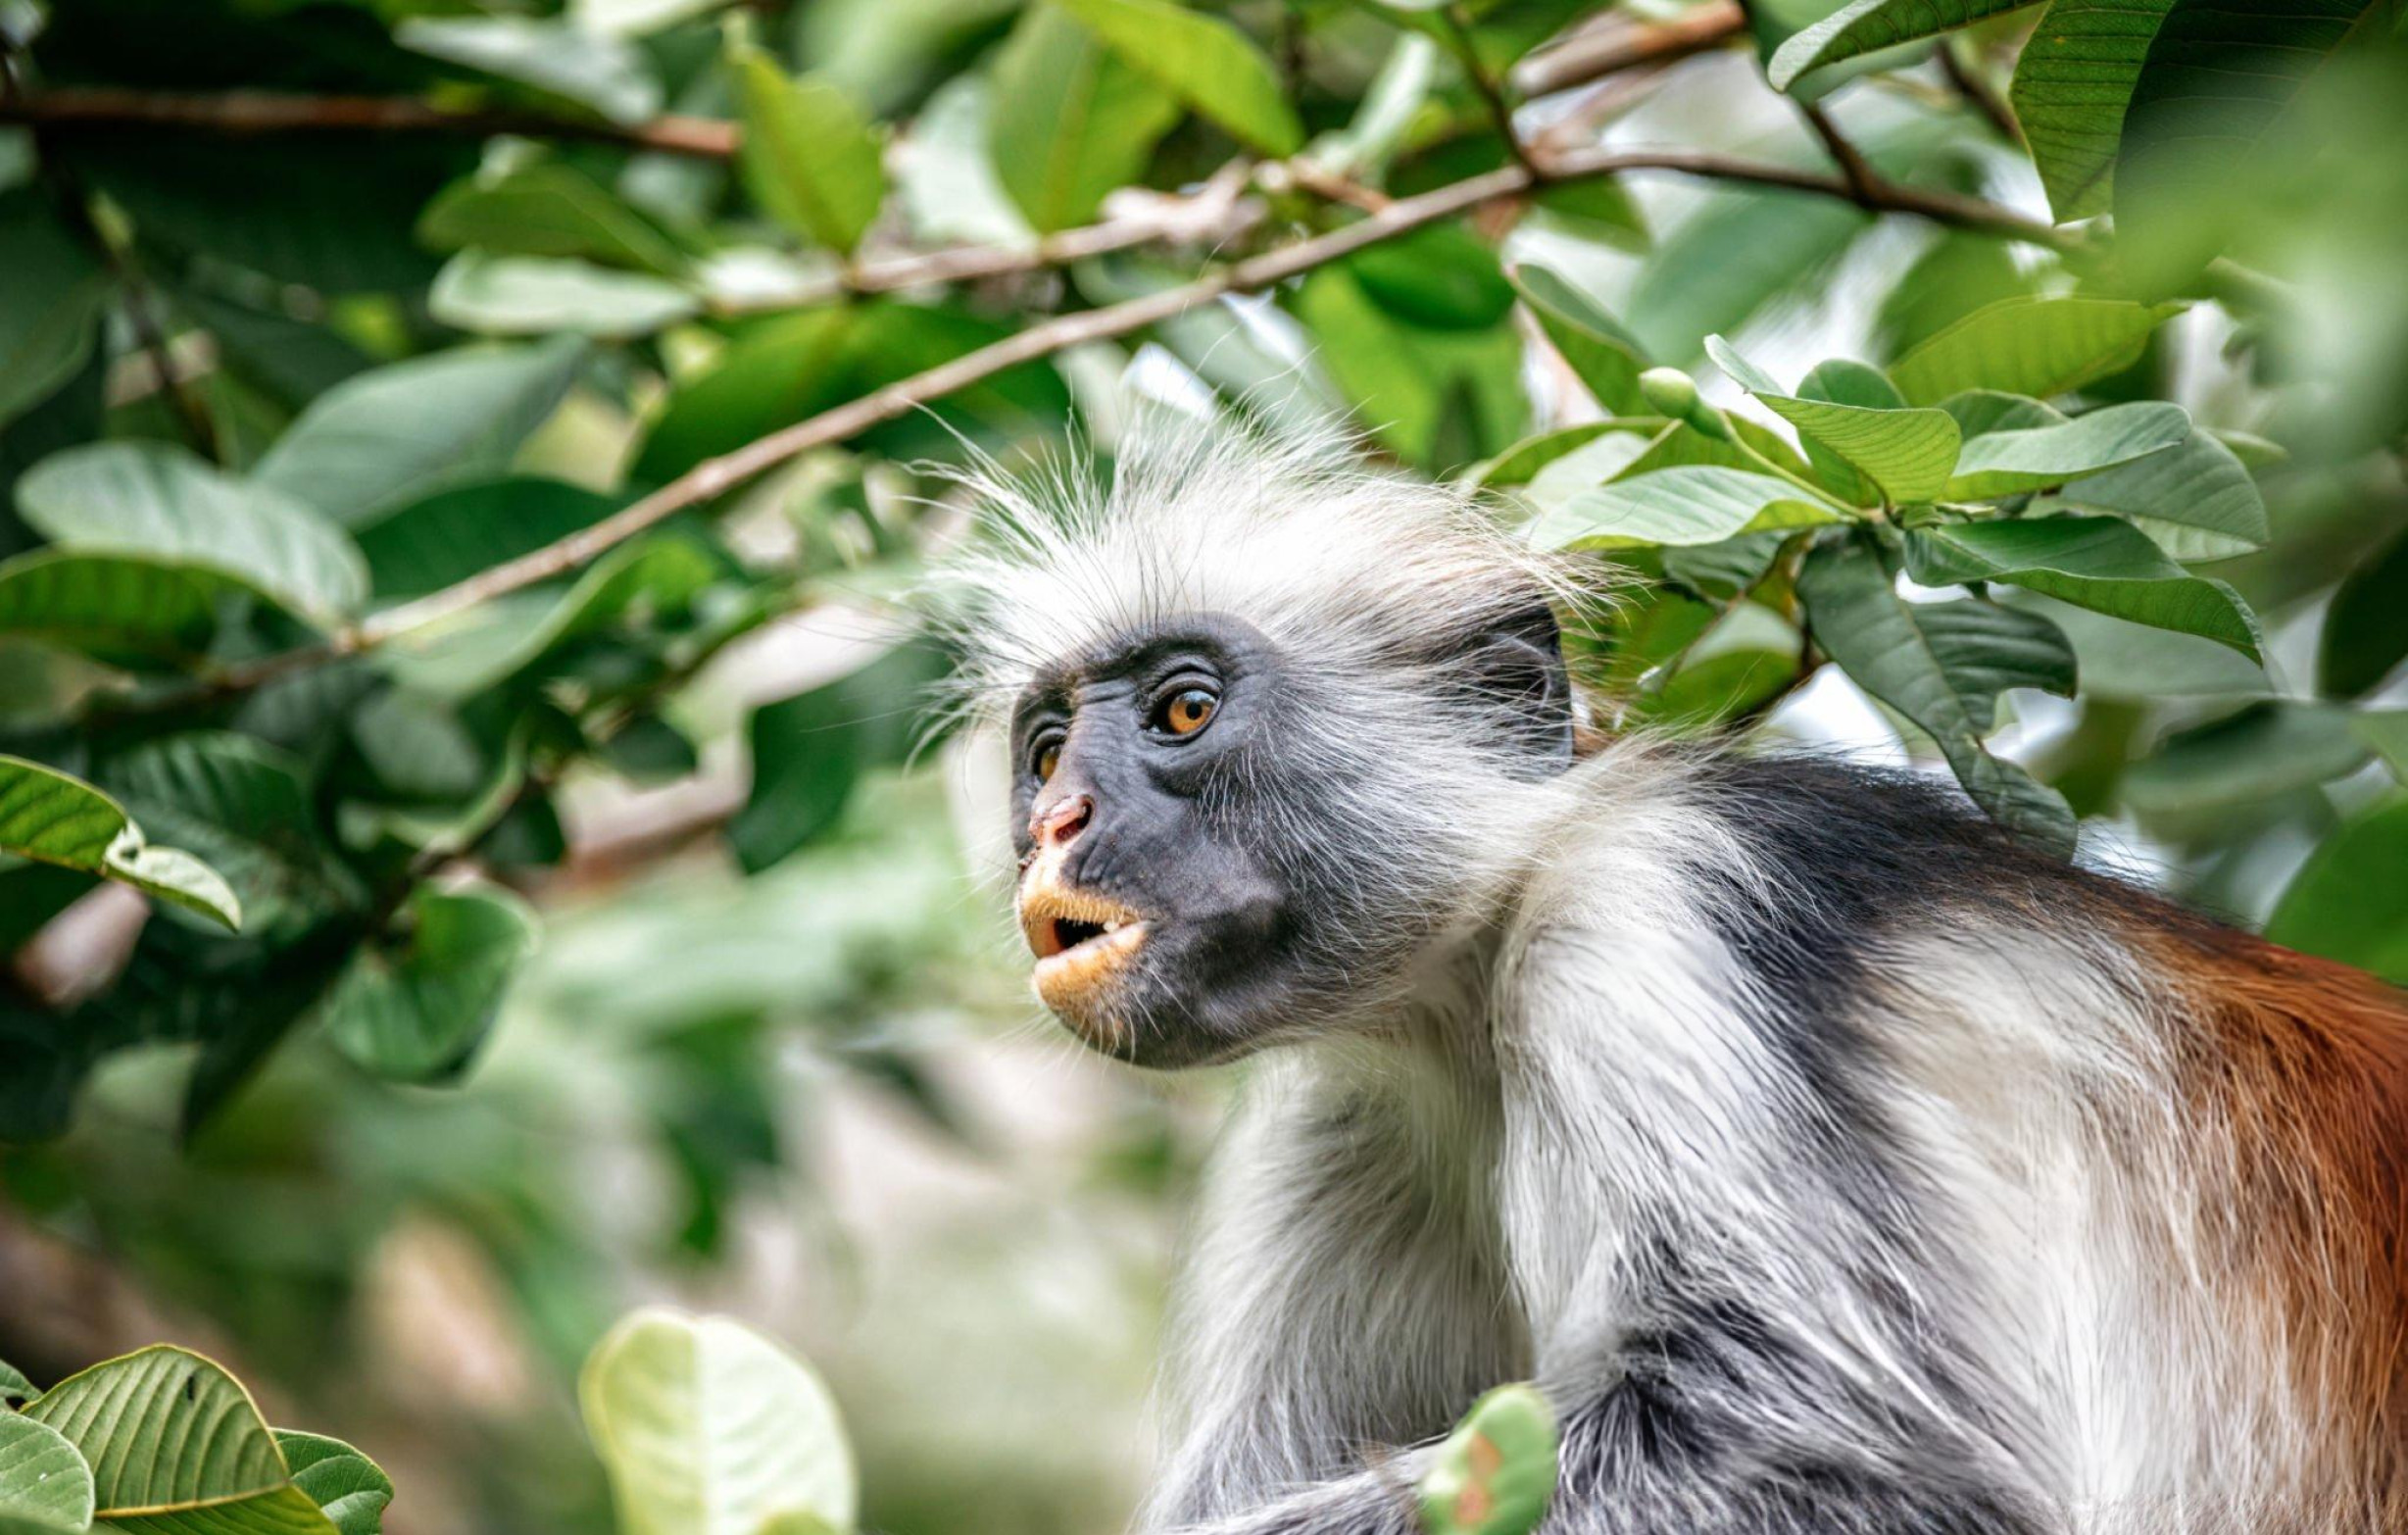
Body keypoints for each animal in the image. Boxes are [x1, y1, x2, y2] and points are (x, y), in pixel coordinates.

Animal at [929, 413, 2408, 1535]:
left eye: (1183, 709)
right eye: (1045, 751)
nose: (1059, 821)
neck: (1473, 984)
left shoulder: (1656, 917)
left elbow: (1857, 1468)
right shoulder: (1354, 1121)